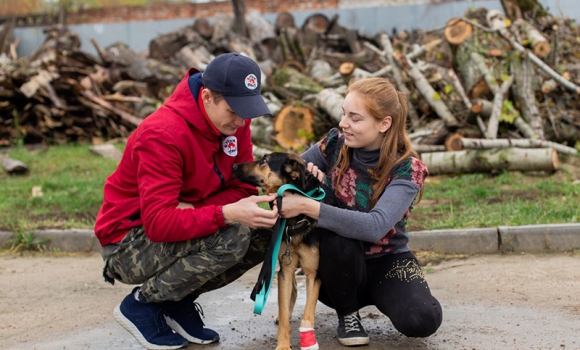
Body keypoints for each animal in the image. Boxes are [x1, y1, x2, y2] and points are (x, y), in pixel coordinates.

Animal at [231, 152, 330, 350]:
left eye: (264, 161)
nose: (234, 166)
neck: (297, 221)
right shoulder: (285, 270)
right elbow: (284, 312)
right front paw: (283, 345)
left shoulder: (313, 274)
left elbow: (308, 313)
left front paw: (308, 341)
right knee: (293, 289)